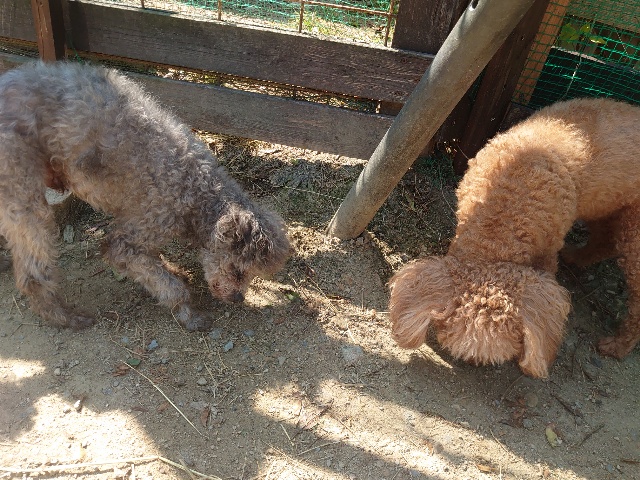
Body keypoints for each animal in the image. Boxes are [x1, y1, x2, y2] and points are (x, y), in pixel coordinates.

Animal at [0, 61, 290, 331]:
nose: (238, 298)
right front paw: (188, 312)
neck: (197, 190)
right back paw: (65, 317)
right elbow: (162, 280)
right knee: (33, 269)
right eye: (237, 271)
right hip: (22, 188)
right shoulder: (141, 228)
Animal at [389, 97, 640, 378]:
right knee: (604, 239)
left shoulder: (547, 252)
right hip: (610, 206)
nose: (472, 364)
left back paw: (616, 346)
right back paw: (575, 257)